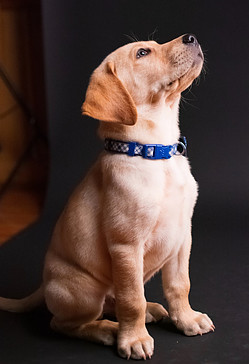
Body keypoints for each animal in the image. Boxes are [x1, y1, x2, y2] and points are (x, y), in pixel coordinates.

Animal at [0, 34, 214, 362]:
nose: (191, 37)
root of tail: (44, 286)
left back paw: (151, 310)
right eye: (142, 52)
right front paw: (134, 339)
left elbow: (180, 285)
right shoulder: (126, 246)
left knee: (116, 302)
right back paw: (108, 330)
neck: (155, 153)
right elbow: (131, 300)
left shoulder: (182, 237)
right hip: (85, 291)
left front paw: (186, 319)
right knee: (65, 323)